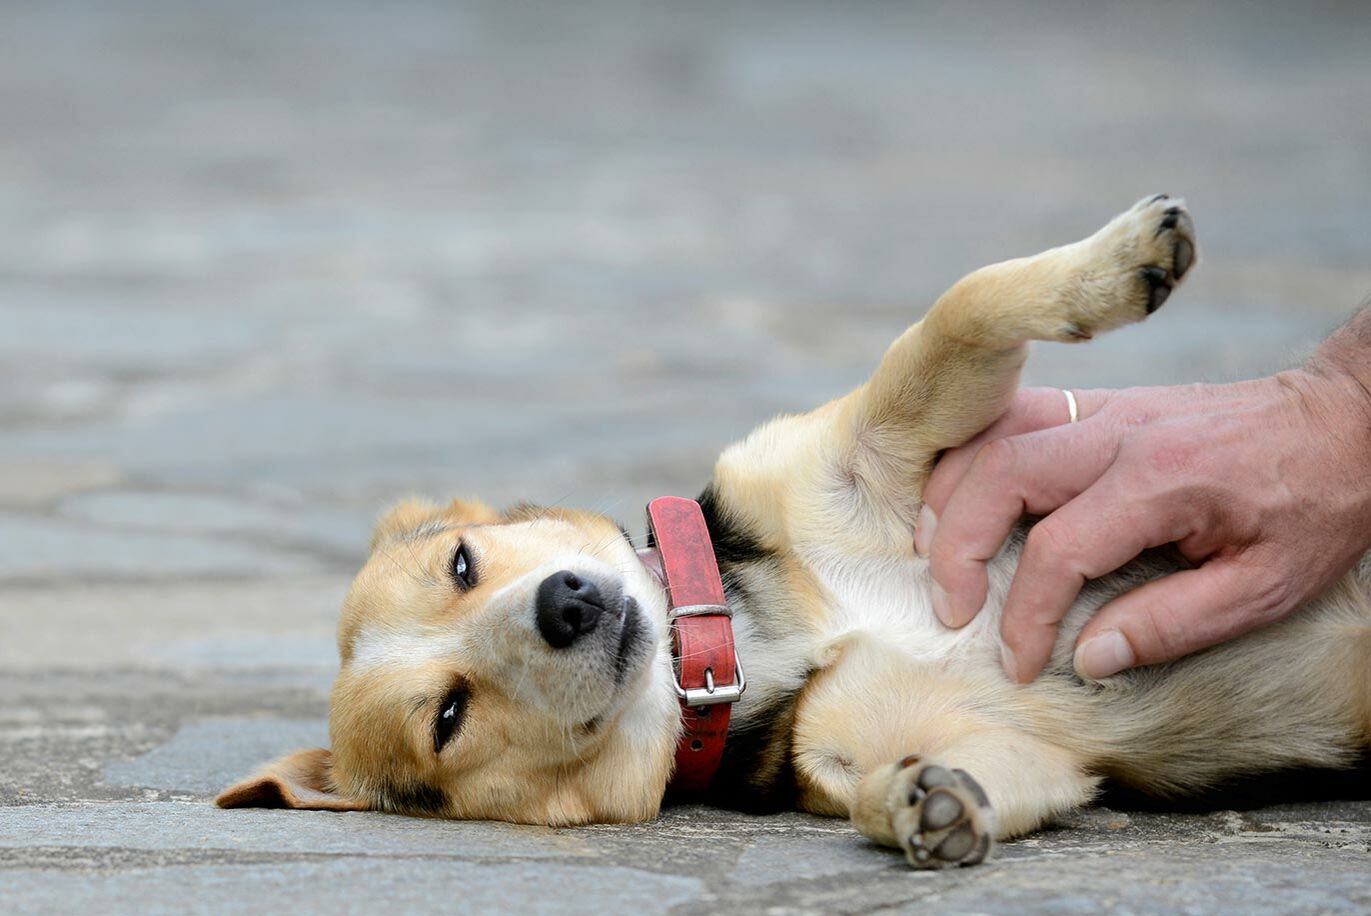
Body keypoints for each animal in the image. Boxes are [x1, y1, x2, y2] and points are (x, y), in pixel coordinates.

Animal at [216, 197, 1371, 872]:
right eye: (448, 716)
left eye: (462, 563)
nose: (566, 602)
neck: (746, 641)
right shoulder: (983, 747)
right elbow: (905, 789)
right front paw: (922, 806)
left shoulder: (880, 448)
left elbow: (963, 307)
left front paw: (1125, 259)